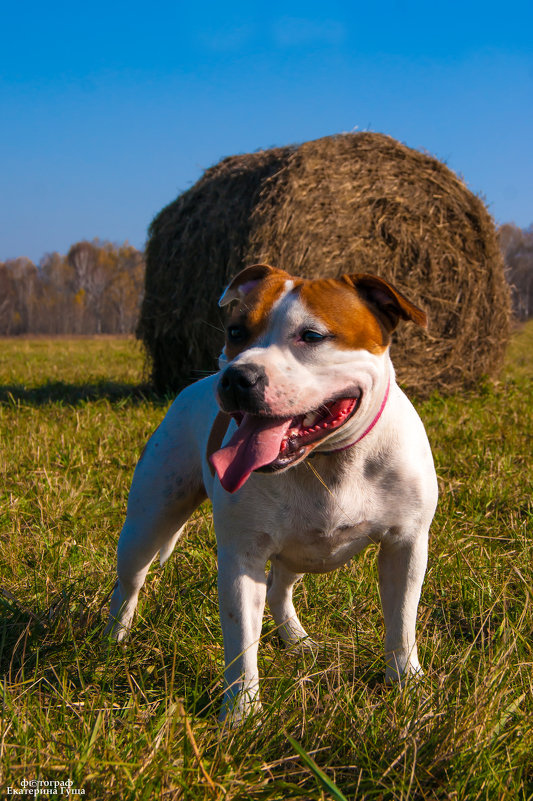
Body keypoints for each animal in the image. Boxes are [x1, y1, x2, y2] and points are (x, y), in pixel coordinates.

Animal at [107, 266, 436, 720]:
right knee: (128, 585)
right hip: (146, 525)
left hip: (299, 549)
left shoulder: (405, 545)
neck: (327, 462)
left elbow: (402, 623)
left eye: (312, 336)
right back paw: (112, 639)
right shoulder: (241, 557)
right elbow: (241, 643)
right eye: (236, 331)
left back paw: (296, 639)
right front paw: (241, 715)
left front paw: (408, 685)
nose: (237, 377)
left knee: (281, 589)